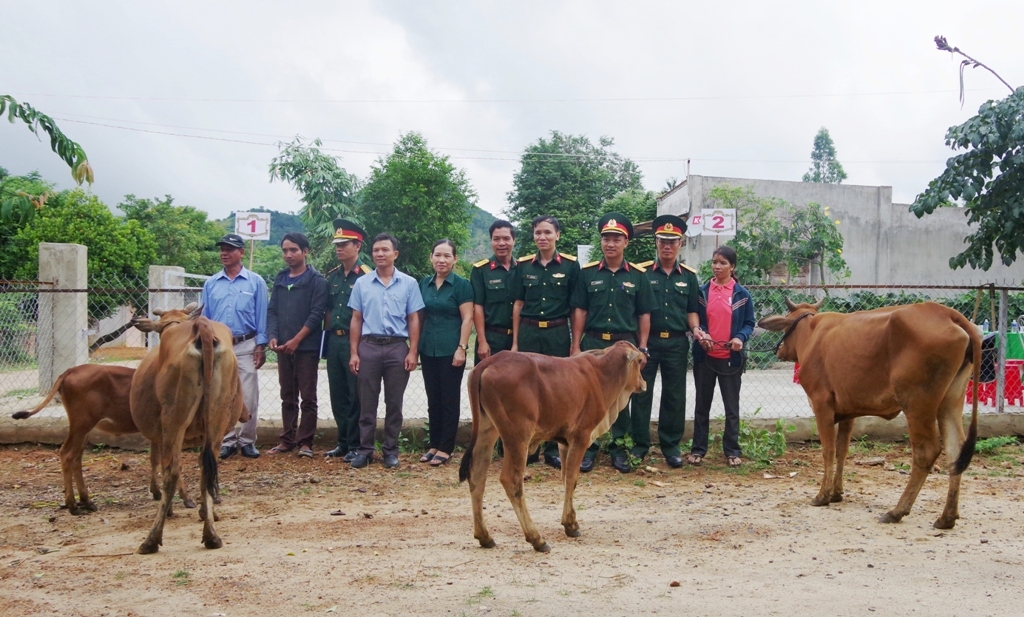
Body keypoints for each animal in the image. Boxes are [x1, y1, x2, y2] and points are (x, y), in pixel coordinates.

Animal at [130, 313, 245, 556]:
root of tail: (201, 325)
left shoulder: (160, 433)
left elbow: (159, 463)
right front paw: (206, 511)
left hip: (174, 418)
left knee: (171, 472)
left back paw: (151, 540)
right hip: (217, 418)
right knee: (208, 469)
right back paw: (211, 535)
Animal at [458, 339, 643, 552]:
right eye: (640, 361)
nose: (643, 383)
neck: (601, 375)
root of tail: (488, 363)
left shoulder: (565, 444)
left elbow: (566, 480)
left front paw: (571, 521)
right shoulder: (581, 437)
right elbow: (572, 479)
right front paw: (570, 525)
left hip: (487, 430)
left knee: (477, 475)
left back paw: (485, 536)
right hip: (517, 437)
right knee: (511, 480)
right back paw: (536, 538)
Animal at [761, 300, 983, 527]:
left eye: (786, 327)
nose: (780, 351)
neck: (812, 332)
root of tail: (946, 313)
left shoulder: (822, 404)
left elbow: (828, 450)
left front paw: (823, 495)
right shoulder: (848, 412)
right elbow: (842, 451)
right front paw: (836, 493)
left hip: (917, 404)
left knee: (926, 451)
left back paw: (897, 511)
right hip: (950, 401)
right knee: (955, 451)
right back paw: (947, 517)